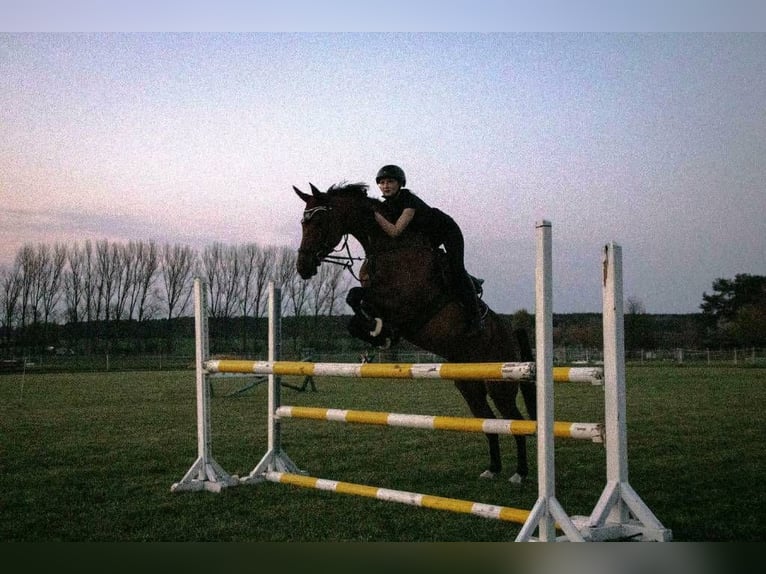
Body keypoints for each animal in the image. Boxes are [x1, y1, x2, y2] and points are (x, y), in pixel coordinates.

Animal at [294, 182, 540, 484]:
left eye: (318, 221)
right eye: (303, 223)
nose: (303, 267)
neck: (387, 248)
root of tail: (509, 334)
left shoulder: (406, 302)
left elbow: (356, 296)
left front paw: (380, 331)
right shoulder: (379, 300)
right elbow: (356, 307)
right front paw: (380, 333)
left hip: (499, 384)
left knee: (514, 420)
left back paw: (520, 473)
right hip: (468, 384)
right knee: (488, 420)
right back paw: (492, 468)